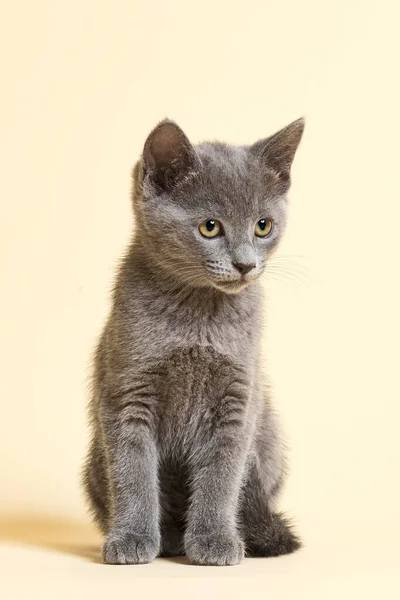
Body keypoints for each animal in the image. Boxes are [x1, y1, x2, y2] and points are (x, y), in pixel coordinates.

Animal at [83, 116, 304, 564]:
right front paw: (132, 537)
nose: (245, 264)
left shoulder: (239, 400)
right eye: (209, 227)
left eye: (263, 226)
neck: (200, 314)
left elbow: (222, 476)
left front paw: (215, 539)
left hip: (270, 437)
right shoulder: (126, 394)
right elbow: (132, 473)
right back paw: (167, 537)